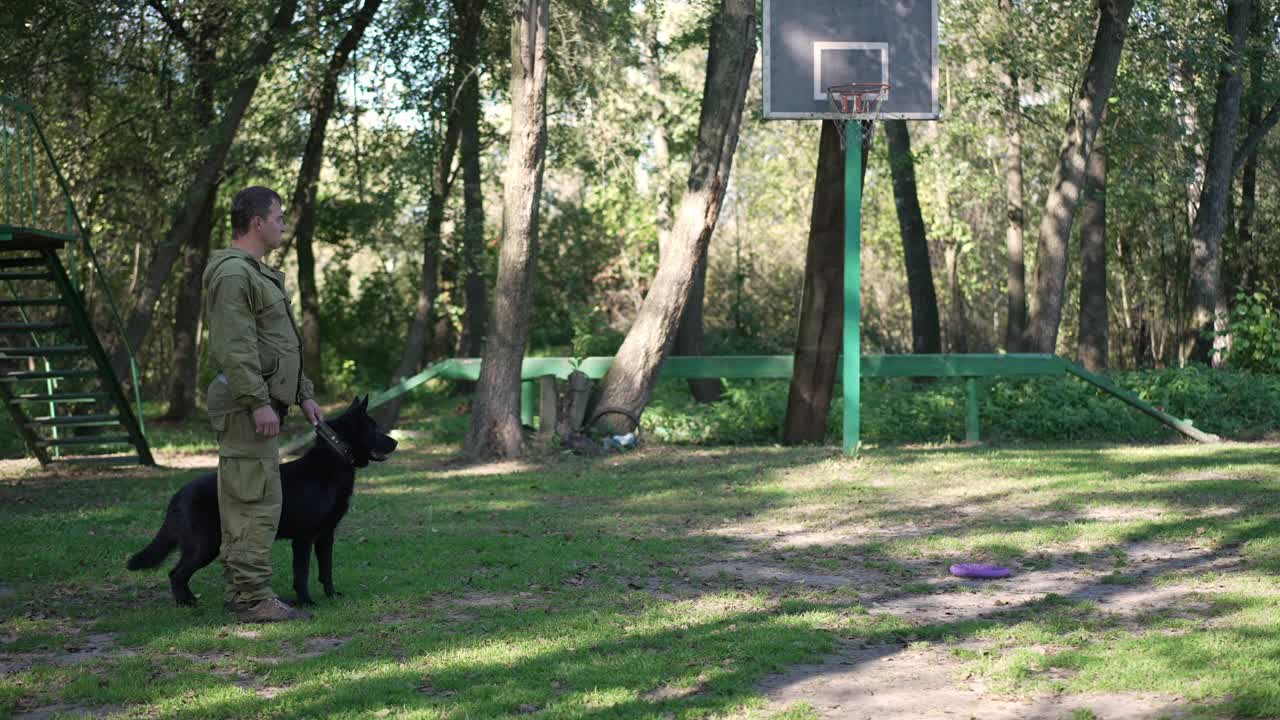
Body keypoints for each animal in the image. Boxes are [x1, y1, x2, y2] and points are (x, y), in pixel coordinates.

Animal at [126, 394, 394, 602]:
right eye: (374, 429)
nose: (395, 442)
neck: (335, 457)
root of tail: (178, 494)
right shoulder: (304, 539)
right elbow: (302, 573)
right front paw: (306, 601)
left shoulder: (326, 536)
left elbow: (326, 570)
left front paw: (331, 596)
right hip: (205, 545)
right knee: (176, 573)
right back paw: (187, 602)